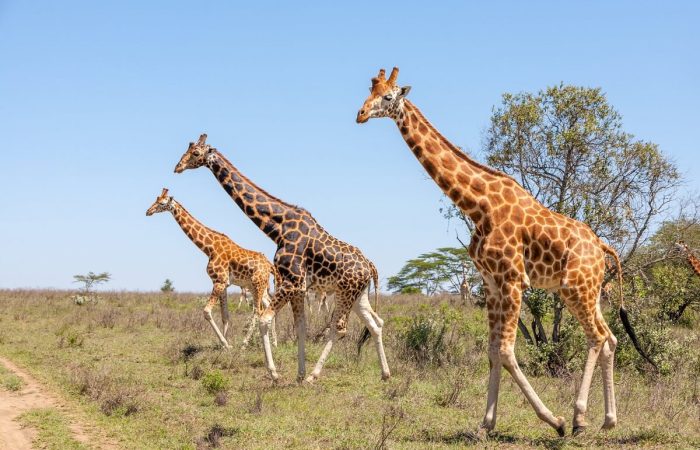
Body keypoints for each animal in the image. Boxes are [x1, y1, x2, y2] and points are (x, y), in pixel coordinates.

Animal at [146, 188, 277, 349]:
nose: (148, 211)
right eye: (156, 199)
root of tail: (269, 265)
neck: (209, 248)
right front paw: (225, 344)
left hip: (257, 285)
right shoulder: (224, 283)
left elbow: (207, 312)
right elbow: (225, 316)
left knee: (258, 311)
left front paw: (225, 344)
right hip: (256, 287)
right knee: (268, 306)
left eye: (162, 203)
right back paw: (274, 343)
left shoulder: (219, 281)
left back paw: (244, 344)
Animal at [174, 135, 389, 383]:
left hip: (346, 292)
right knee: (375, 325)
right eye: (187, 150)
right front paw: (298, 373)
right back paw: (385, 374)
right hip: (357, 295)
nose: (177, 167)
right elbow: (300, 327)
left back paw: (314, 375)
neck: (278, 227)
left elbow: (264, 319)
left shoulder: (292, 282)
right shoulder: (298, 287)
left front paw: (275, 374)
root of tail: (370, 266)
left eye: (196, 153)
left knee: (341, 328)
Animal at [356, 67, 656, 436]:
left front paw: (553, 421)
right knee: (611, 338)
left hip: (575, 288)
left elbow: (507, 350)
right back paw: (609, 420)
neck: (478, 205)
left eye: (387, 96)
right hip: (588, 290)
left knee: (597, 337)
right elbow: (492, 351)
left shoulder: (513, 280)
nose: (360, 114)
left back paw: (578, 418)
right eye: (369, 91)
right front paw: (486, 423)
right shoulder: (492, 283)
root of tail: (601, 245)